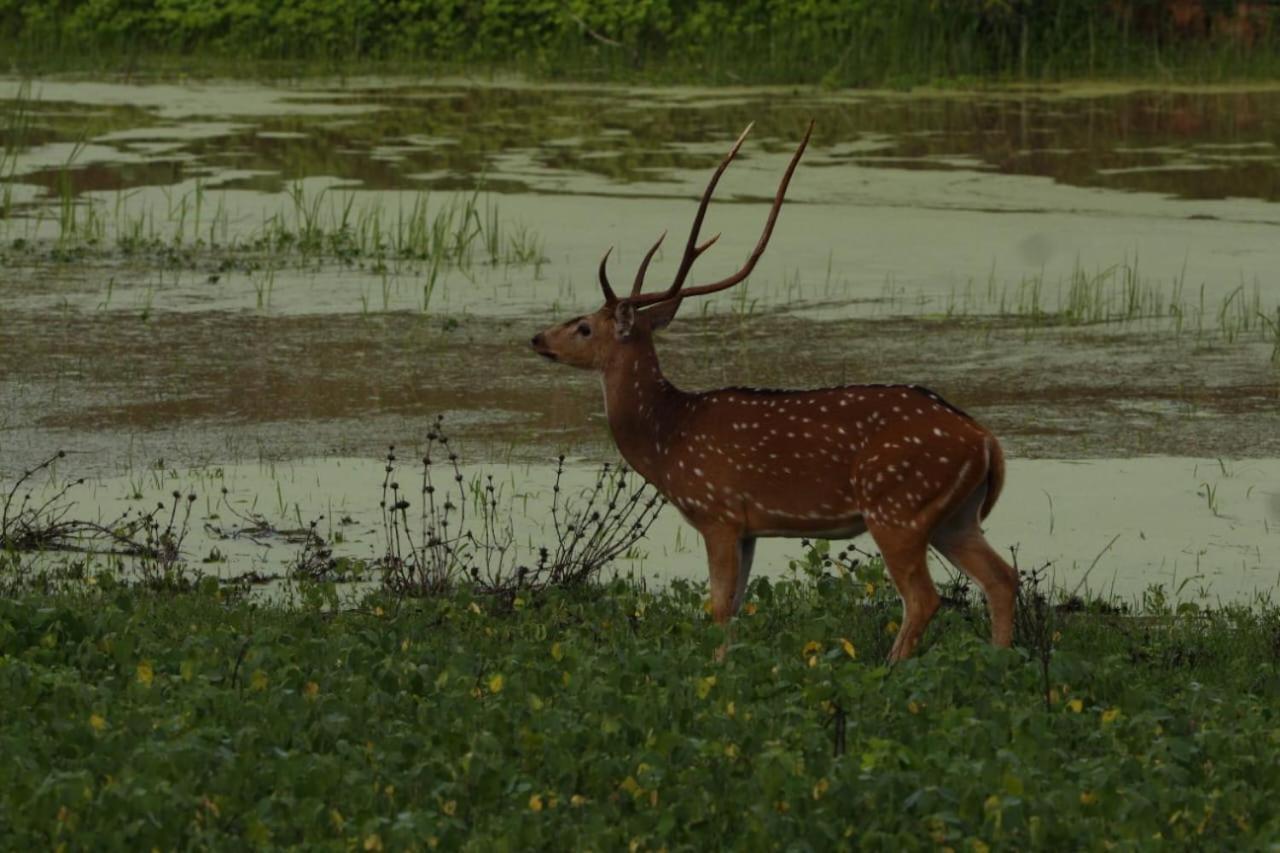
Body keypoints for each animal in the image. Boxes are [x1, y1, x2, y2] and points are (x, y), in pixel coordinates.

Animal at [527, 122, 1008, 655]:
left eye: (584, 327)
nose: (537, 338)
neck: (667, 440)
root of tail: (985, 440)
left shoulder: (717, 509)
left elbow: (718, 606)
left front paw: (715, 665)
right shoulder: (749, 528)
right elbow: (734, 606)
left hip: (897, 505)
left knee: (925, 597)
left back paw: (892, 664)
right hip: (956, 515)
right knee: (1001, 578)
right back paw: (1002, 658)